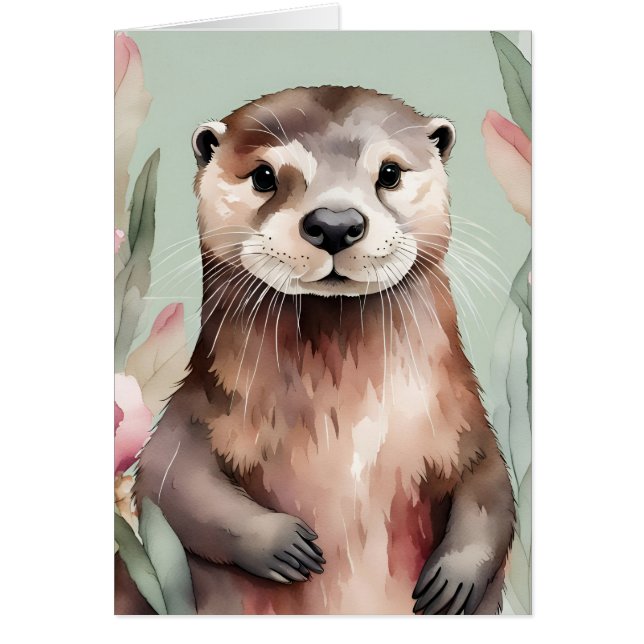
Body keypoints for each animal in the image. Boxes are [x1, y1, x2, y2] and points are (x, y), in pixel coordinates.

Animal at [127, 86, 515, 615]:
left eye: (390, 172)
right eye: (264, 176)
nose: (334, 222)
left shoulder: (463, 424)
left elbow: (492, 488)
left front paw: (453, 581)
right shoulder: (199, 411)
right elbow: (169, 480)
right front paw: (282, 544)